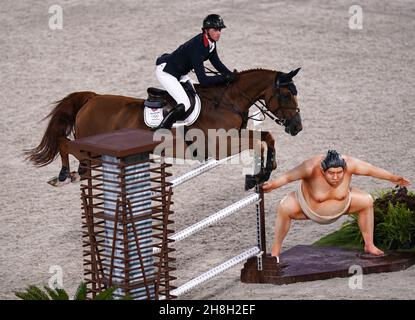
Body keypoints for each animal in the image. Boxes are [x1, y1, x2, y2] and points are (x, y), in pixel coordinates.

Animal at [26, 68, 304, 188]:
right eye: (285, 95)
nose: (297, 127)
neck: (227, 100)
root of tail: (91, 99)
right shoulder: (220, 146)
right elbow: (258, 141)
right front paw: (259, 175)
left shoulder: (234, 137)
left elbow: (266, 136)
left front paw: (266, 171)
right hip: (91, 149)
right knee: (65, 145)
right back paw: (64, 175)